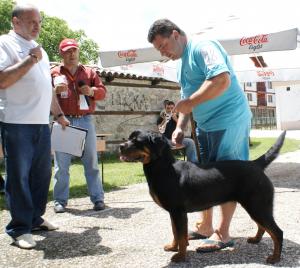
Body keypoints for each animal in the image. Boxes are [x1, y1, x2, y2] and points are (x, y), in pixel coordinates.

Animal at [118, 130, 284, 264]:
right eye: (129, 138)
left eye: (137, 141)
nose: (120, 145)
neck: (164, 168)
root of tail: (256, 164)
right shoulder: (173, 213)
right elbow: (175, 232)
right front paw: (173, 247)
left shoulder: (178, 212)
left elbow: (181, 236)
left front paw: (180, 256)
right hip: (255, 206)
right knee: (263, 226)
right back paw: (256, 240)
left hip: (258, 205)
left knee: (277, 232)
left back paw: (275, 258)